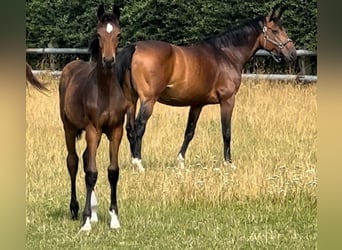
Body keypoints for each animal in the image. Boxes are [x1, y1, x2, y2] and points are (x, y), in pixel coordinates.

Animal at [58, 2, 125, 231]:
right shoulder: (93, 130)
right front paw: (86, 222)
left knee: (87, 158)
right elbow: (91, 173)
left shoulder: (116, 130)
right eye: (98, 34)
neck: (105, 93)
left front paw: (114, 219)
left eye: (119, 34)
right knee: (73, 162)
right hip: (69, 128)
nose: (108, 60)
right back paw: (76, 209)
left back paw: (94, 212)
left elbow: (112, 171)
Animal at [115, 4, 296, 172]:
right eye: (275, 31)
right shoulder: (227, 100)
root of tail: (135, 48)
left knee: (130, 128)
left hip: (132, 99)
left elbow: (189, 132)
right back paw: (138, 163)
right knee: (139, 126)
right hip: (148, 100)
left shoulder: (197, 104)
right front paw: (229, 163)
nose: (292, 53)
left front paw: (181, 162)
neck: (226, 55)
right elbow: (226, 132)